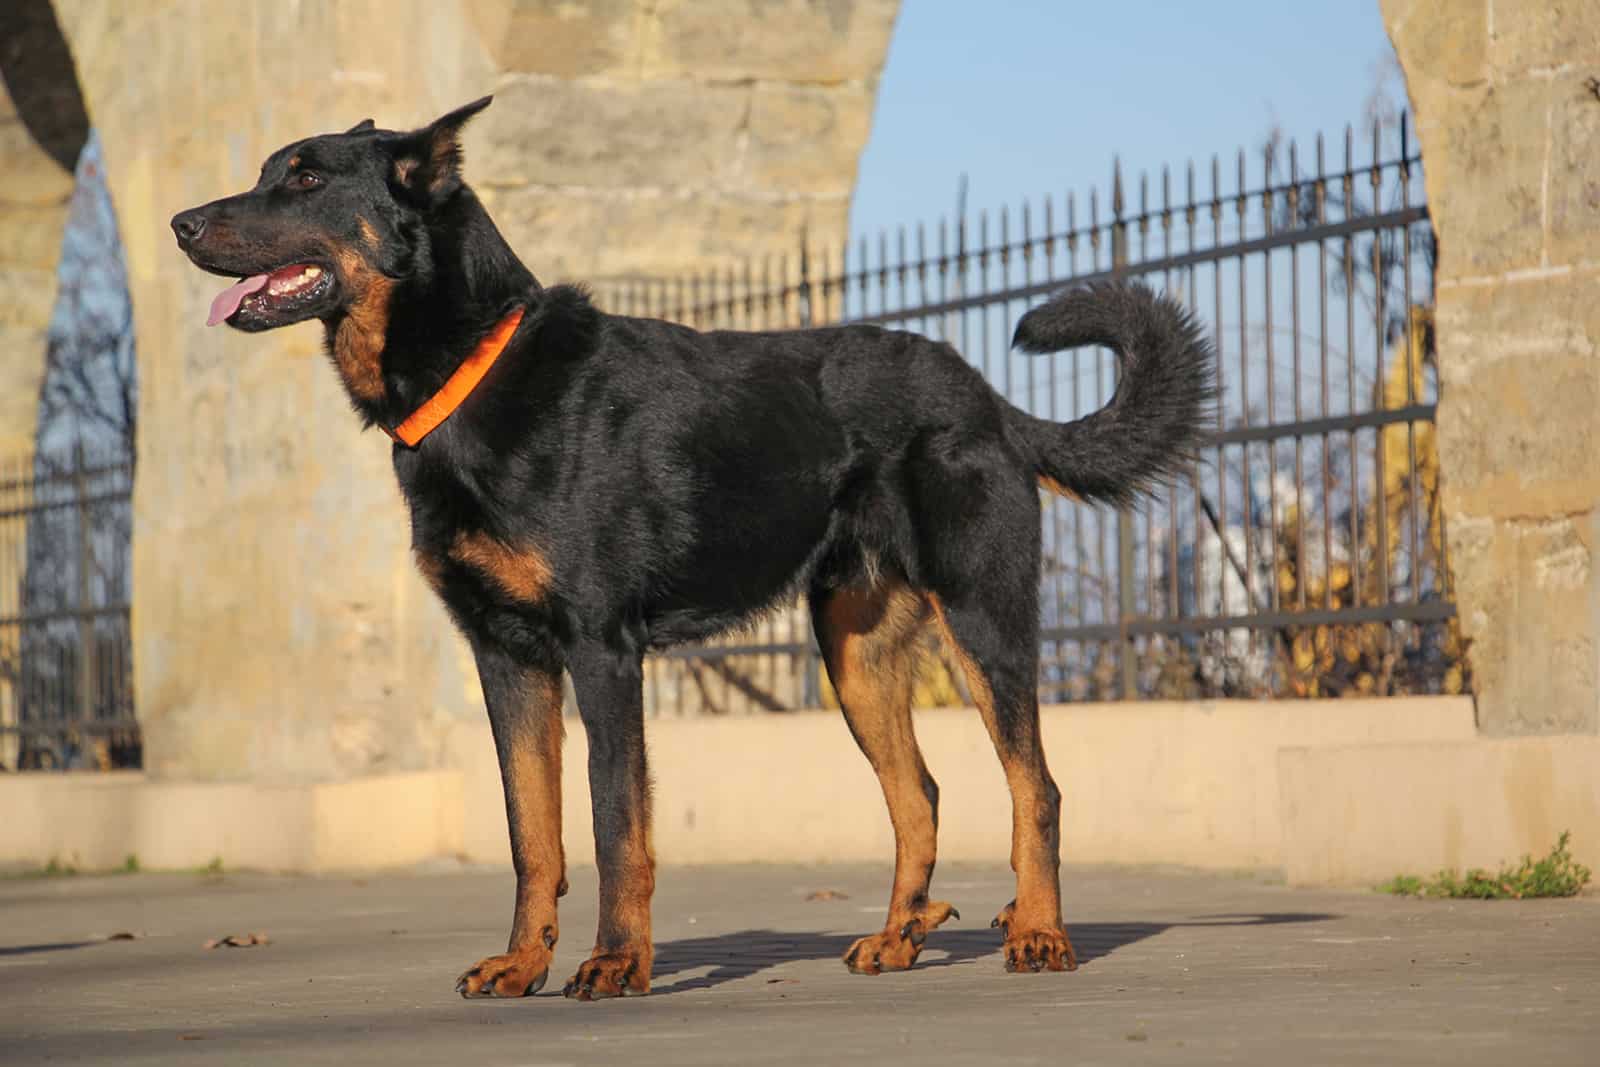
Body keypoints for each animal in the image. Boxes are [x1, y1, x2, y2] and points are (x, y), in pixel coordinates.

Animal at [172, 97, 1209, 1004]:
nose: (181, 224)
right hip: (856, 653)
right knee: (919, 792)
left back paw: (1037, 931)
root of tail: (990, 399)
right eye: (268, 170)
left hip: (983, 619)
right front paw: (521, 964)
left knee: (1037, 786)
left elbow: (613, 826)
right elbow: (531, 833)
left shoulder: (601, 651)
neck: (473, 369)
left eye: (306, 178)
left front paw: (615, 964)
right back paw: (899, 936)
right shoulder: (505, 658)